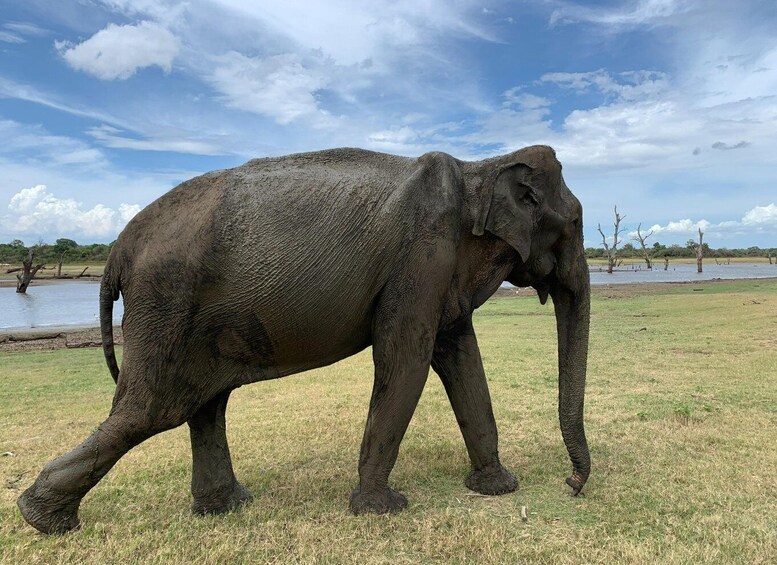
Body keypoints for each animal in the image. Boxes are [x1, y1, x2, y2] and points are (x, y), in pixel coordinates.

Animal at [18, 144, 588, 532]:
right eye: (577, 222)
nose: (573, 485)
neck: (480, 168)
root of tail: (118, 249)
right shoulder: (421, 258)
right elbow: (405, 359)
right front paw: (381, 511)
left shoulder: (440, 272)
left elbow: (461, 358)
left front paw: (497, 489)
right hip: (165, 304)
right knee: (153, 410)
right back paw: (41, 520)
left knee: (202, 405)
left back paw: (226, 507)